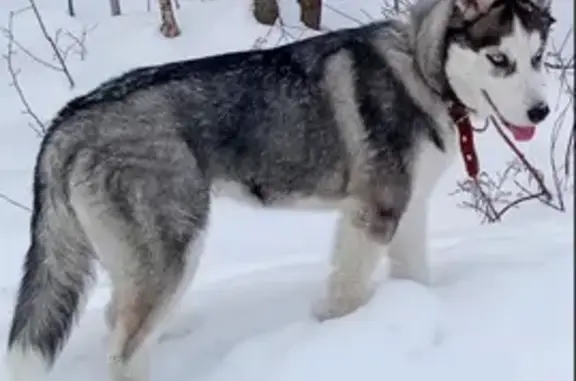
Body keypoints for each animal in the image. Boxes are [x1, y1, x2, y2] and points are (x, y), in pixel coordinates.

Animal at [4, 0, 552, 378]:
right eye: (499, 59)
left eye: (539, 58)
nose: (541, 112)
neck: (421, 68)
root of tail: (70, 118)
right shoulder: (374, 211)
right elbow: (347, 291)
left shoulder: (407, 209)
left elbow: (414, 276)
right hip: (174, 246)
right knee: (125, 349)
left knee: (118, 316)